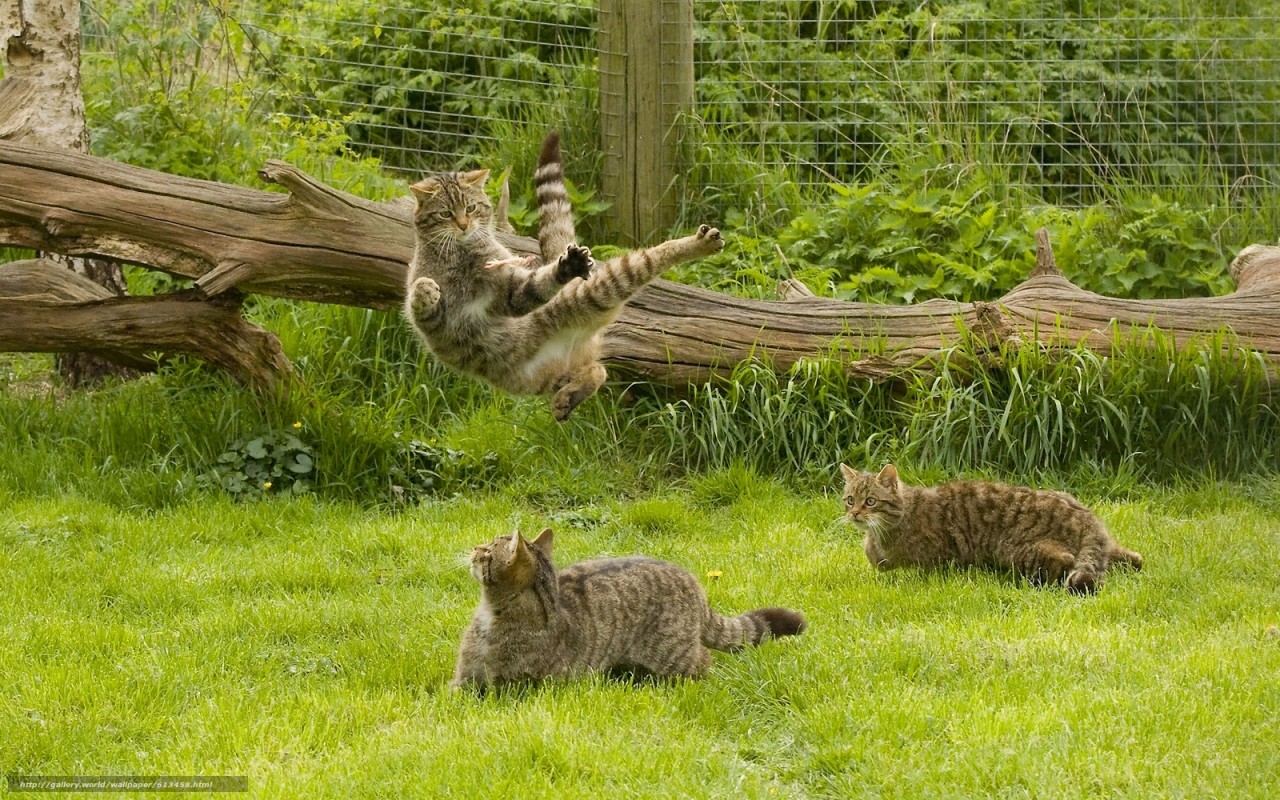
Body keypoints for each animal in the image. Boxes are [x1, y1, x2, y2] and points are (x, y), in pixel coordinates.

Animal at [455, 527, 803, 691]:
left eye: (488, 550)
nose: (474, 547)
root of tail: (692, 580)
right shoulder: (463, 680)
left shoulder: (509, 687)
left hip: (672, 655)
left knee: (703, 660)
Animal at [834, 460, 1146, 593]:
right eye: (850, 500)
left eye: (870, 501)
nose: (855, 514)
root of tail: (1085, 516)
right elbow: (873, 556)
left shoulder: (935, 554)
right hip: (1109, 546)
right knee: (1132, 557)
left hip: (1019, 551)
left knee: (1067, 562)